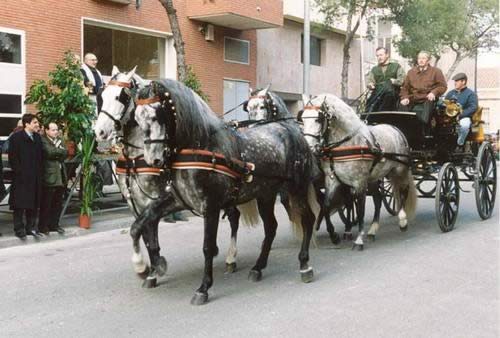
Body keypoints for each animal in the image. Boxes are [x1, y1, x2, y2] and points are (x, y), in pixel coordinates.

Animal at [300, 93, 418, 250]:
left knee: (403, 190)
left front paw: (358, 240)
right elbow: (326, 206)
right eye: (302, 119)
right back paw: (373, 230)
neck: (346, 144)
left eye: (318, 119)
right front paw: (334, 236)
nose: (309, 148)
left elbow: (360, 209)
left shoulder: (359, 182)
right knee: (378, 199)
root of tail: (394, 128)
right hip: (374, 177)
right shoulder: (333, 180)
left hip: (399, 170)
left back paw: (403, 220)